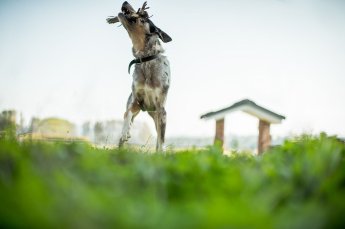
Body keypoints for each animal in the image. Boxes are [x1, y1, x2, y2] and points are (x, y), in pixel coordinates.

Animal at [107, 2, 171, 152]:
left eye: (143, 16)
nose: (125, 2)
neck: (145, 59)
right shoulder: (135, 101)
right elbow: (128, 114)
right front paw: (126, 130)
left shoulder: (161, 109)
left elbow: (161, 139)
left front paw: (162, 152)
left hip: (157, 116)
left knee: (159, 136)